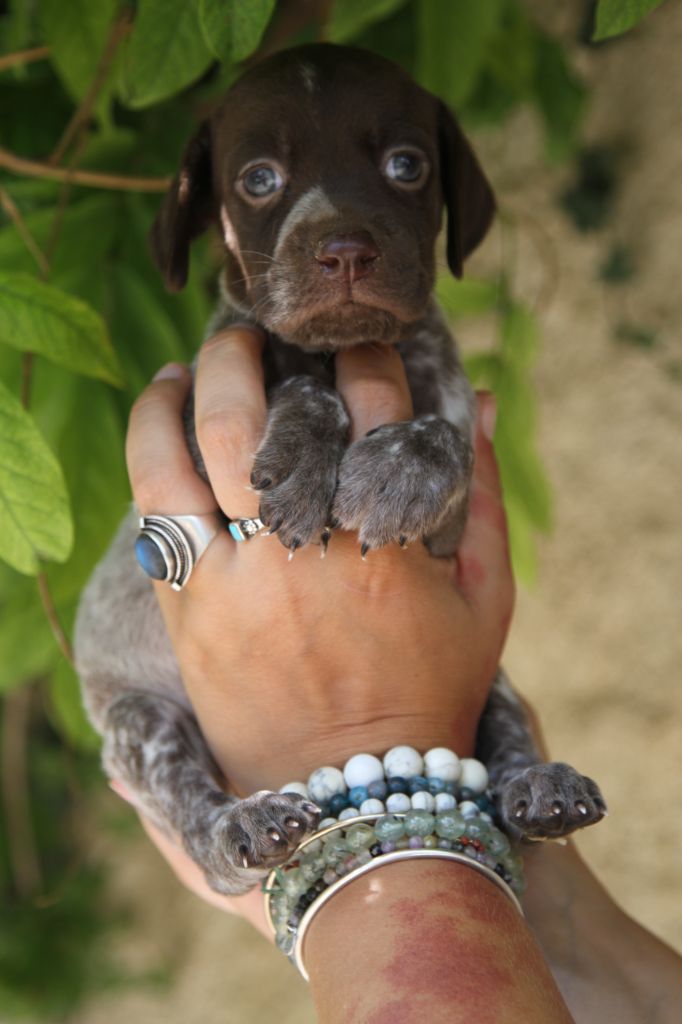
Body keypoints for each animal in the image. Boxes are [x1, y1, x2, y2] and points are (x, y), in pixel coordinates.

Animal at [75, 44, 606, 892]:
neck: (340, 349)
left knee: (504, 737)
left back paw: (540, 785)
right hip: (136, 718)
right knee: (196, 818)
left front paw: (394, 473)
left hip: (491, 682)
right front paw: (301, 455)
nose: (346, 251)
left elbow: (445, 437)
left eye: (406, 165)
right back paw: (240, 824)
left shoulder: (456, 486)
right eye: (259, 178)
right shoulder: (195, 420)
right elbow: (296, 385)